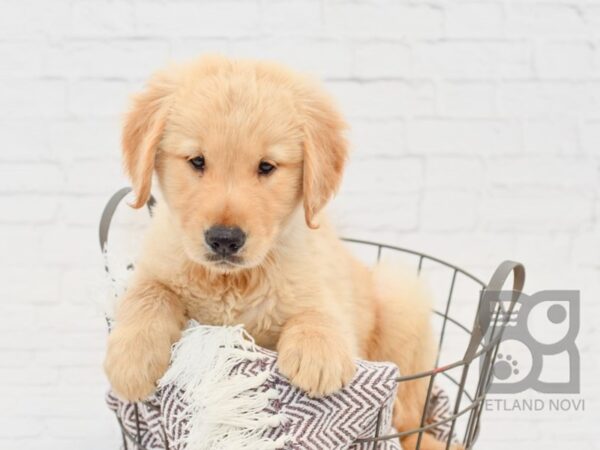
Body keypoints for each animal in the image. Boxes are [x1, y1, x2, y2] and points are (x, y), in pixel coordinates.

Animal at [104, 55, 460, 450]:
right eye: (197, 161)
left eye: (266, 167)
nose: (224, 239)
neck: (232, 281)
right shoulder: (157, 263)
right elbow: (148, 294)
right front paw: (132, 358)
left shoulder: (319, 282)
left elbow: (319, 312)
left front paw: (318, 352)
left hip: (400, 298)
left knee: (409, 420)